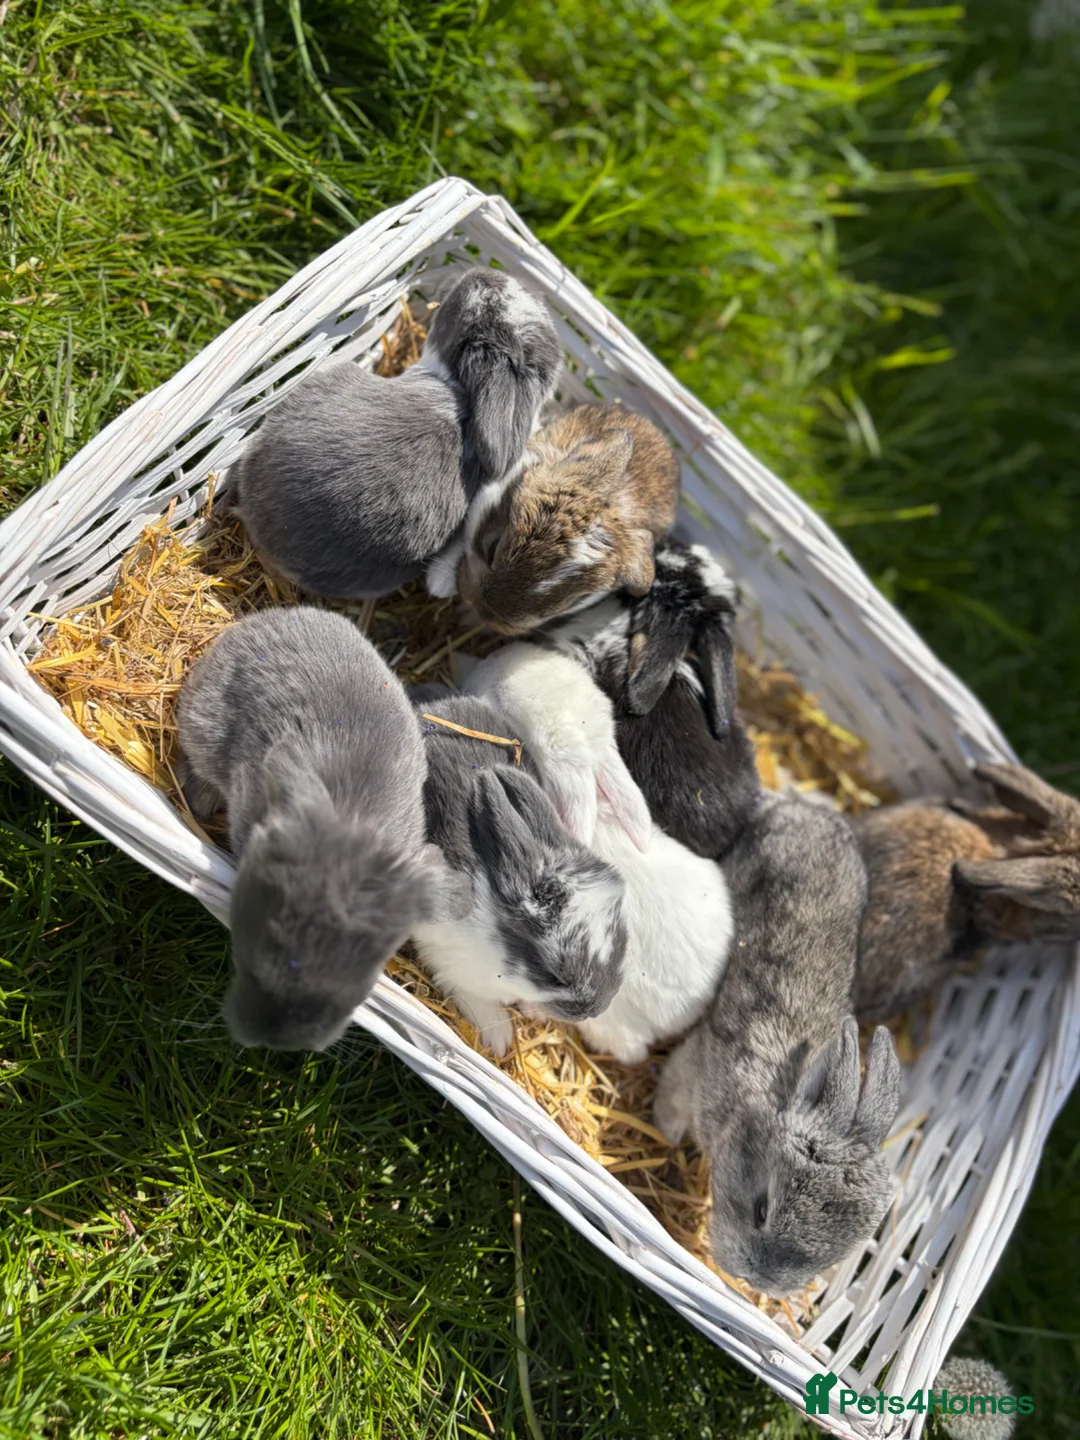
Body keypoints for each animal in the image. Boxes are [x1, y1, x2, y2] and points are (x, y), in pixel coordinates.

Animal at [654, 790, 901, 1297]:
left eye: (832, 1256)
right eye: (761, 1210)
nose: (757, 1281)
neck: (763, 1104)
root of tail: (801, 806)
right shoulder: (698, 1064)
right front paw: (664, 1133)